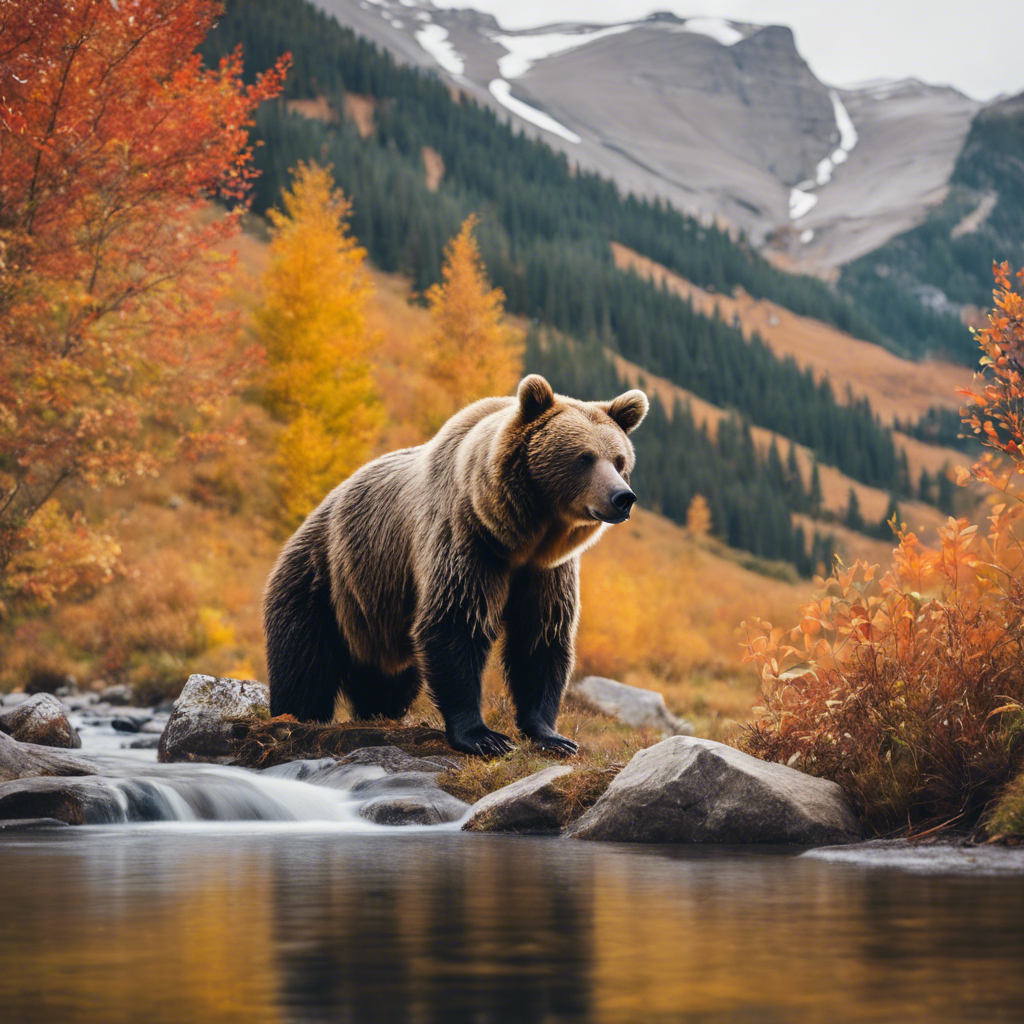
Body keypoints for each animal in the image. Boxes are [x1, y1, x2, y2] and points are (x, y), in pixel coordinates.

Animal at [263, 374, 649, 757]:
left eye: (619, 460)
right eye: (584, 457)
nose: (622, 497)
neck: (520, 535)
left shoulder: (547, 570)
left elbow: (540, 636)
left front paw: (551, 736)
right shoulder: (466, 539)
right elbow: (456, 622)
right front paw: (484, 736)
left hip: (373, 611)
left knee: (386, 679)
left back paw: (379, 711)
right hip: (322, 576)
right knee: (304, 660)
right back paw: (295, 715)